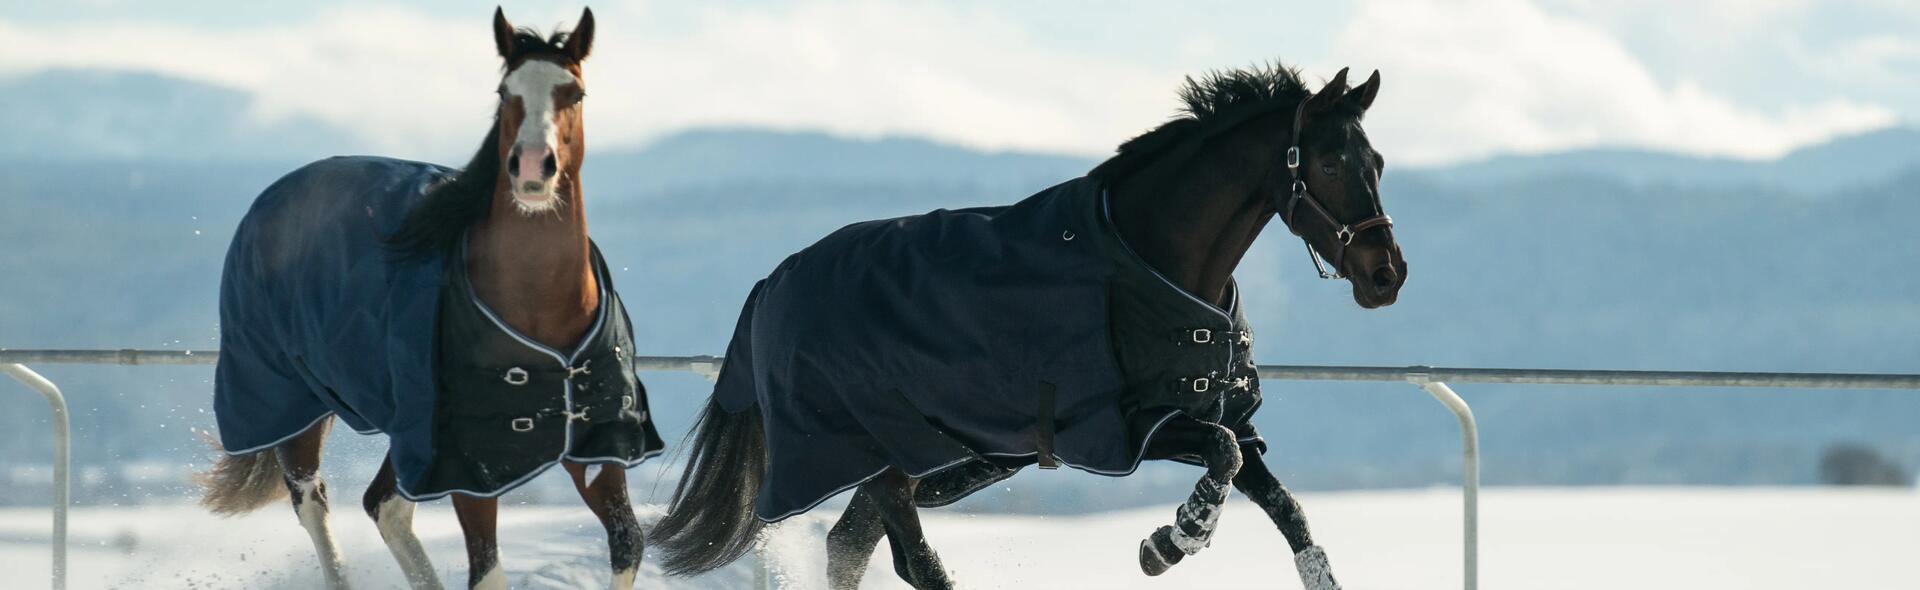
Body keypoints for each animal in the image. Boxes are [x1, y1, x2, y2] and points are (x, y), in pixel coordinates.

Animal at [200, 9, 668, 590]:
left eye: (575, 93)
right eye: (504, 92)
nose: (532, 167)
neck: (539, 308)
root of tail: (268, 201)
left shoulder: (595, 449)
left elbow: (628, 544)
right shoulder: (469, 471)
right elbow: (488, 572)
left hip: (410, 435)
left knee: (383, 505)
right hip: (293, 405)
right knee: (313, 503)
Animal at [652, 64, 1405, 590]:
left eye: (1377, 162)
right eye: (1329, 163)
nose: (1386, 275)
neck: (1152, 266)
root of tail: (771, 286)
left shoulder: (1221, 417)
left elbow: (1286, 508)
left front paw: (1176, 540)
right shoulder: (1130, 429)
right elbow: (1222, 458)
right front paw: (1168, 543)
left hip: (923, 463)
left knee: (852, 542)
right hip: (891, 457)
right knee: (907, 555)